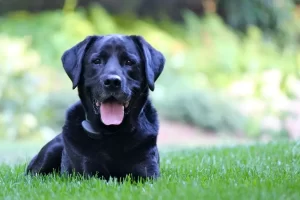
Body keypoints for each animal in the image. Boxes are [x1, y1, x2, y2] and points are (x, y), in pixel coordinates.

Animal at [26, 33, 165, 180]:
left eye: (129, 62)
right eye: (97, 61)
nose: (112, 82)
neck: (112, 133)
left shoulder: (148, 173)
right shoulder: (88, 173)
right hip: (51, 150)